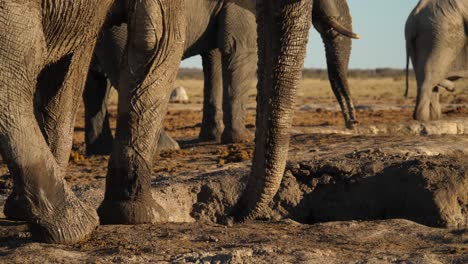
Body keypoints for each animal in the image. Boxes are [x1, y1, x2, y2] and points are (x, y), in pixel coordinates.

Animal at [84, 0, 360, 156]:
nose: (352, 122)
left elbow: (214, 58)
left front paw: (212, 138)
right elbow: (241, 51)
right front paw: (241, 139)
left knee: (96, 83)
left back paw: (100, 150)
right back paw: (166, 147)